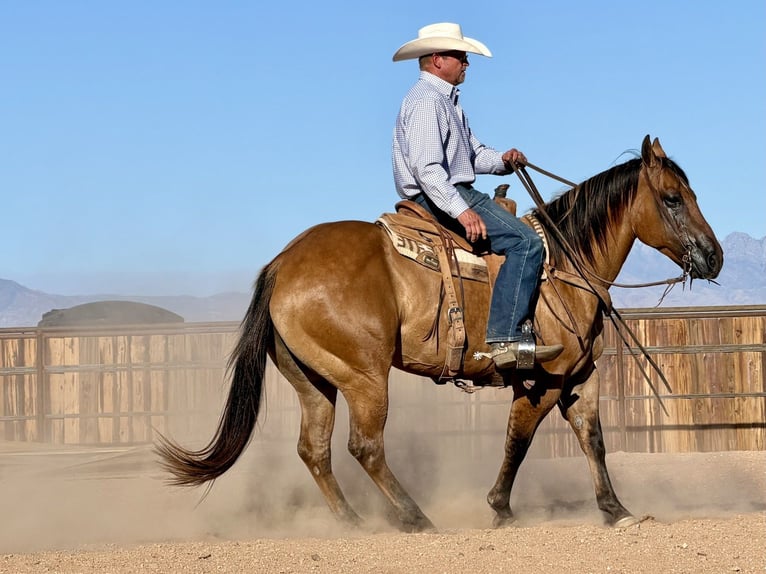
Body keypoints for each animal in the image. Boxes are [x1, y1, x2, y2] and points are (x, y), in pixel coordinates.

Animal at [157, 135, 723, 532]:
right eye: (673, 198)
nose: (714, 256)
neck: (564, 264)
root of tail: (282, 263)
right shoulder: (542, 381)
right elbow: (518, 440)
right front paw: (500, 508)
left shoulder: (580, 378)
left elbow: (594, 440)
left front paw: (615, 509)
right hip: (365, 378)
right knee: (365, 446)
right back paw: (415, 518)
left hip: (314, 381)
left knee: (314, 450)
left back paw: (353, 523)